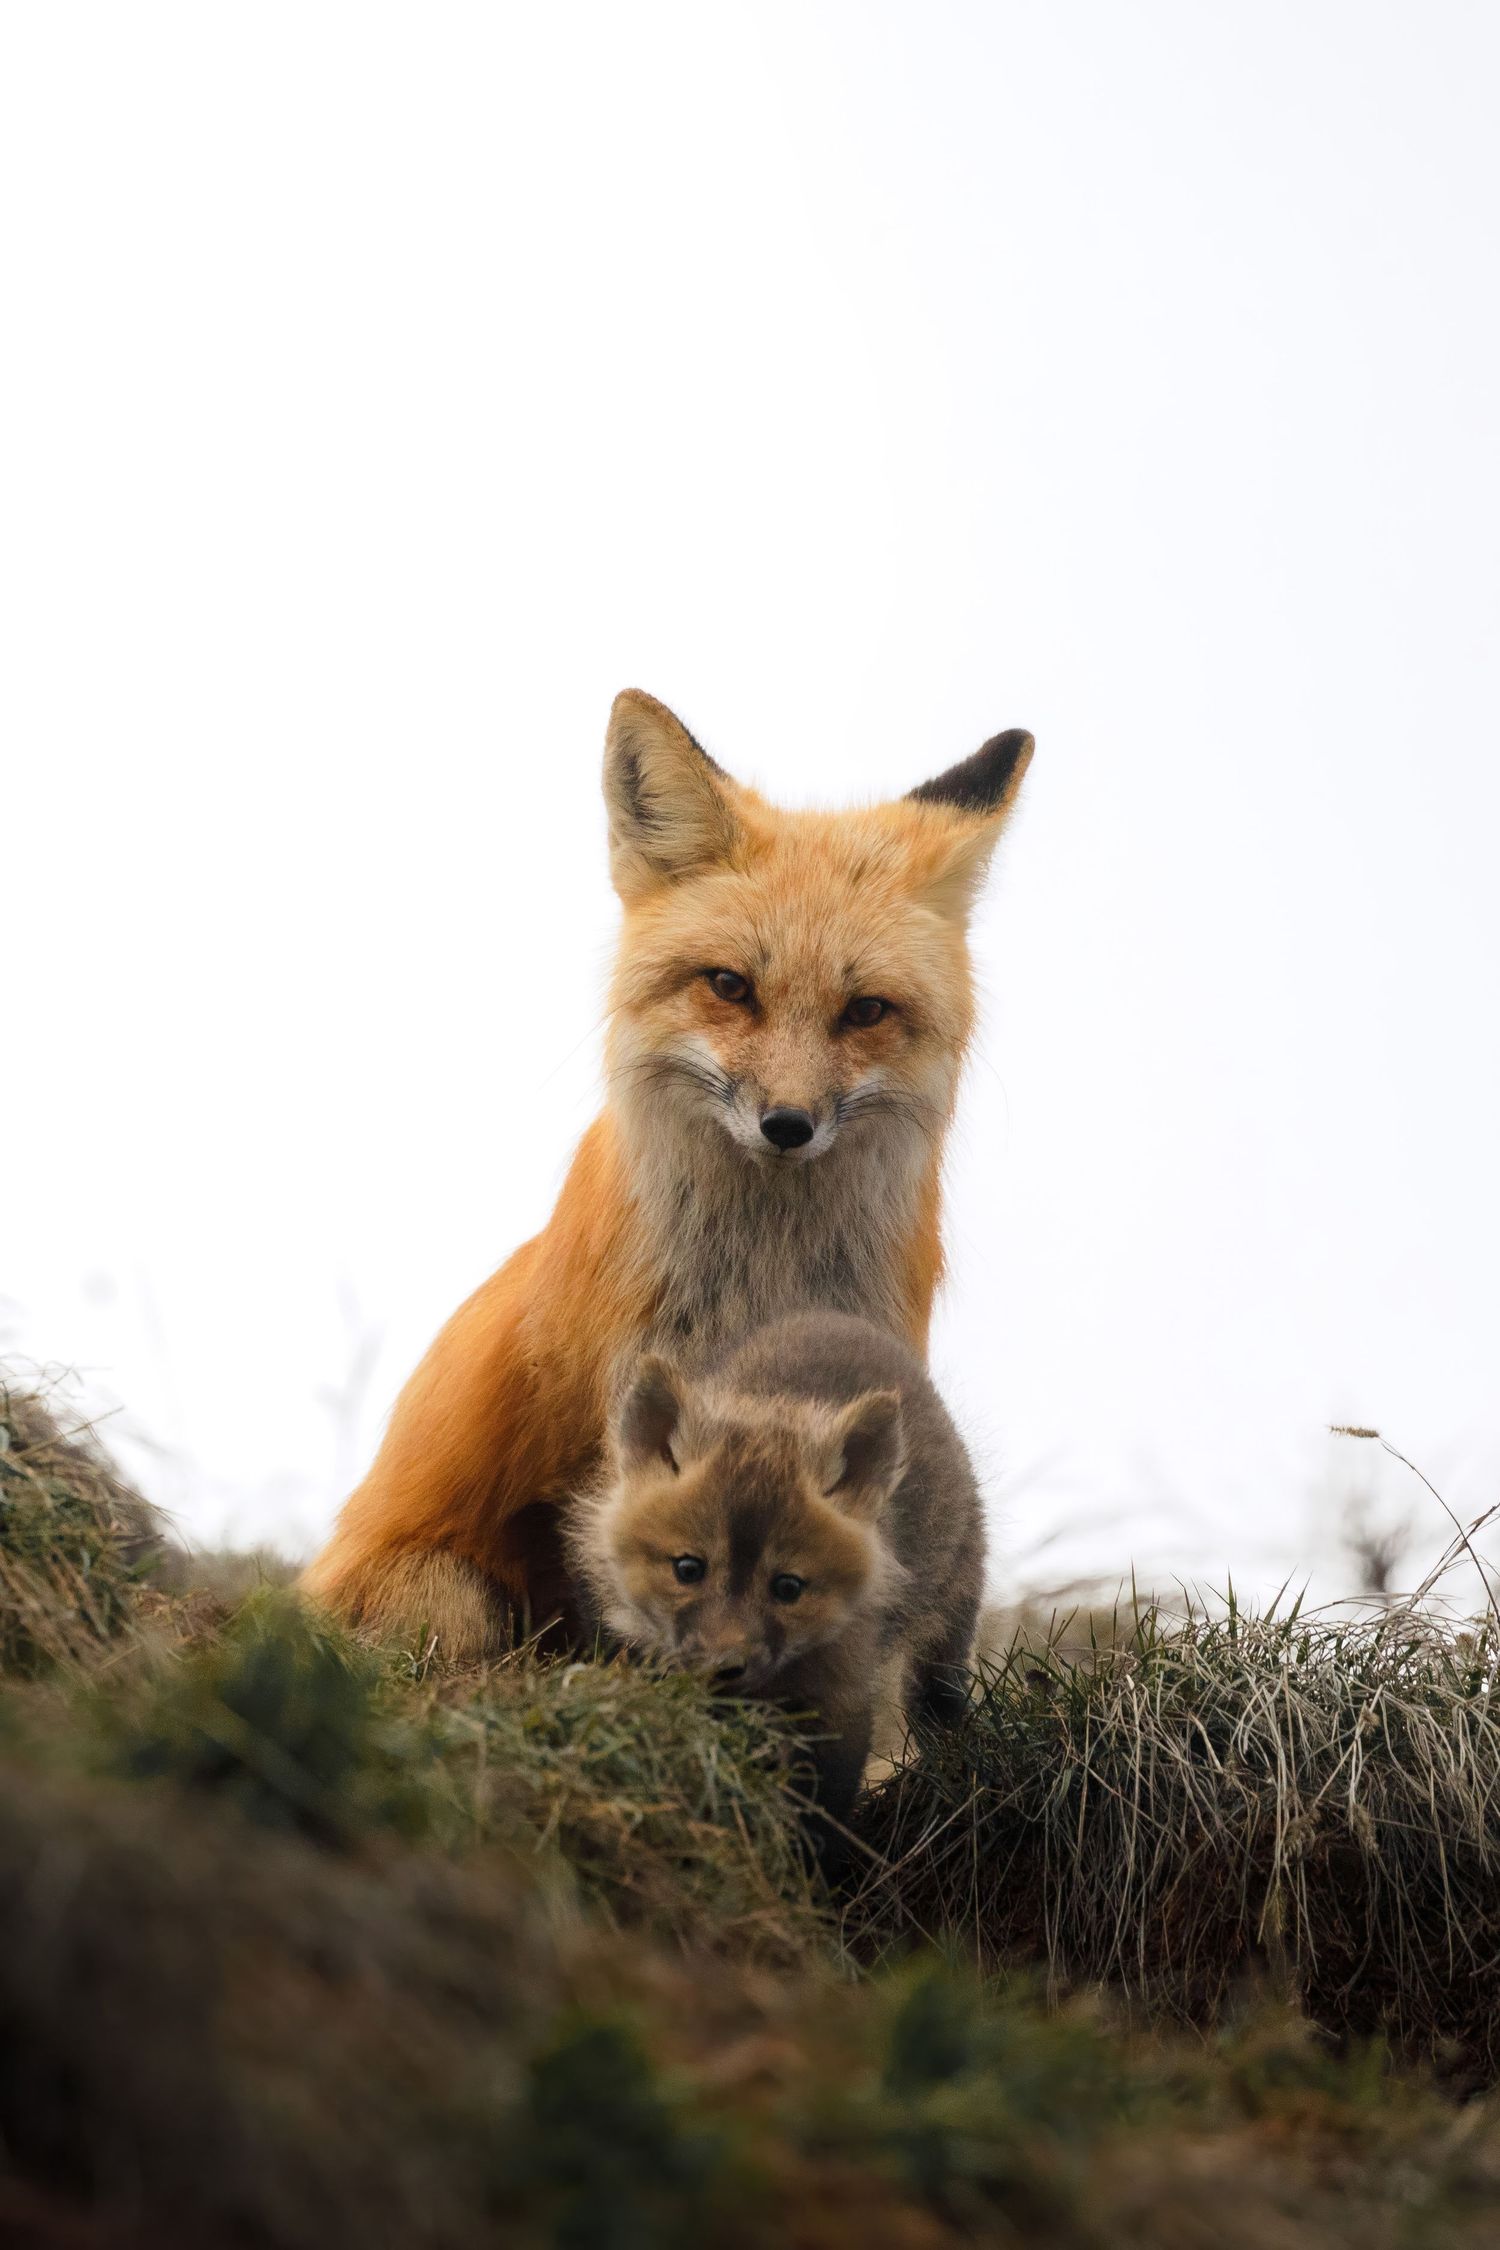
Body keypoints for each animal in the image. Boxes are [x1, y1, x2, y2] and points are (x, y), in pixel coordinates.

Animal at [301, 689, 1032, 1657]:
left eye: (865, 1011)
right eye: (729, 986)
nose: (787, 1125)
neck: (765, 1278)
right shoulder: (621, 1439)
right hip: (451, 1599)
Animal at [567, 1309, 987, 1833]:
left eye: (788, 1587)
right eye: (688, 1568)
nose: (723, 1667)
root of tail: (832, 1320)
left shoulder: (840, 1700)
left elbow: (820, 1818)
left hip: (946, 1637)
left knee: (938, 1701)